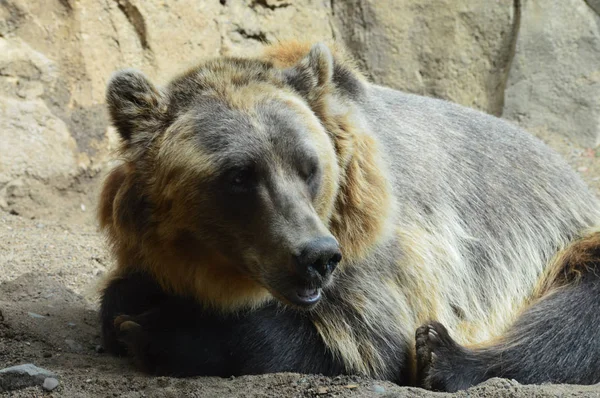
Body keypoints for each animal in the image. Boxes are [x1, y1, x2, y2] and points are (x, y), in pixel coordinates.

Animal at [98, 41, 600, 392]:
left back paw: (444, 356)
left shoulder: (383, 255)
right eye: (239, 175)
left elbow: (363, 341)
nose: (316, 256)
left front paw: (156, 329)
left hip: (561, 242)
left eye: (309, 167)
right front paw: (133, 308)